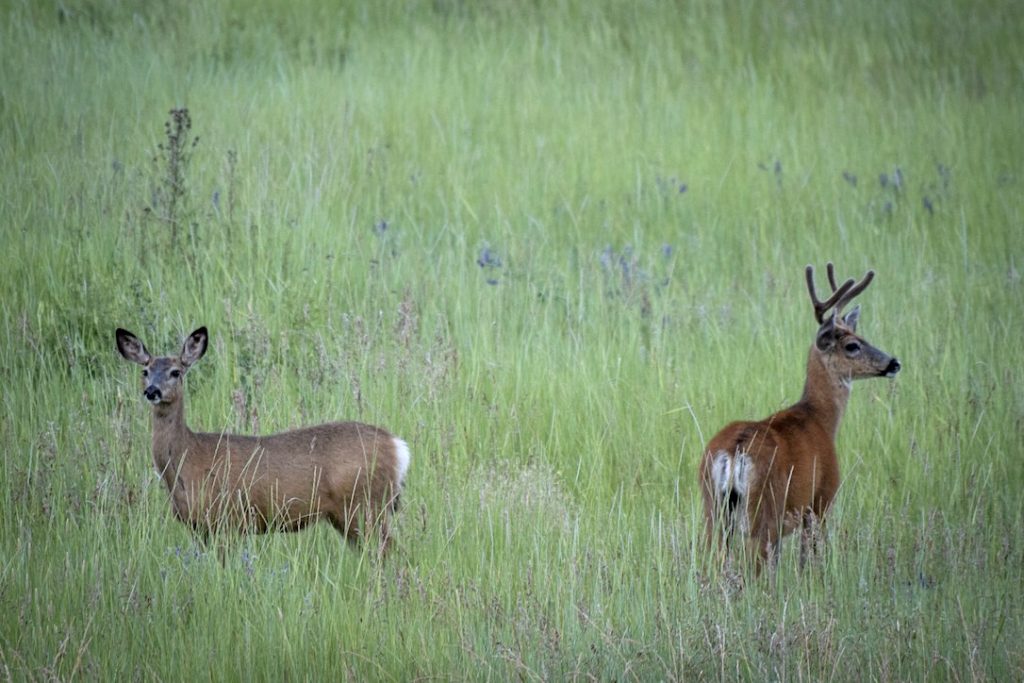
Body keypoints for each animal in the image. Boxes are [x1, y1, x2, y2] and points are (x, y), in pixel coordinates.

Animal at [114, 325, 409, 557]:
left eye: (175, 372)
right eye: (145, 371)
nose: (152, 391)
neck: (187, 460)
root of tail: (398, 446)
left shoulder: (226, 520)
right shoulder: (199, 528)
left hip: (363, 505)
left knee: (391, 551)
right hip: (349, 514)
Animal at [696, 264, 905, 573]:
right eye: (852, 345)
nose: (894, 363)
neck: (820, 419)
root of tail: (734, 452)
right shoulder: (820, 500)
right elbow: (809, 561)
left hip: (713, 508)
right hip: (763, 512)